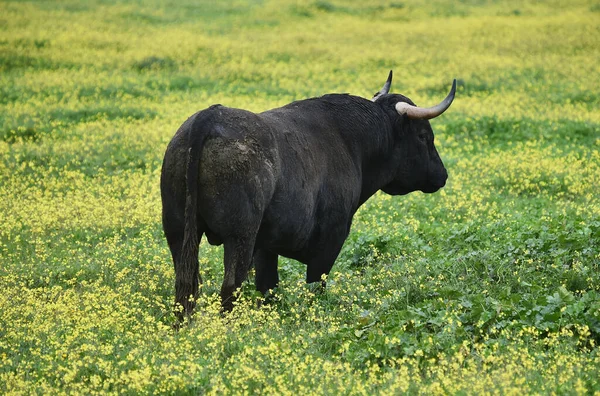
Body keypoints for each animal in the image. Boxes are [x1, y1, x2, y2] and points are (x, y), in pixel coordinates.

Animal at [159, 72, 454, 316]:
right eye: (423, 135)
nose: (442, 175)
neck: (352, 142)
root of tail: (209, 118)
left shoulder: (266, 246)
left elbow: (268, 286)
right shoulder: (331, 239)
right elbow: (314, 285)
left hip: (178, 231)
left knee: (185, 284)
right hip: (239, 236)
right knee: (230, 287)